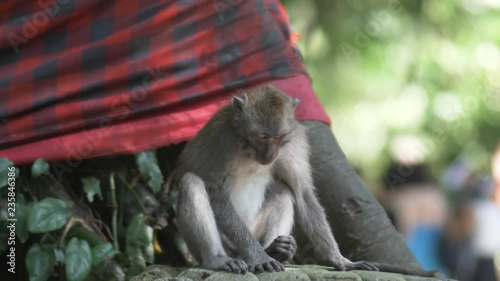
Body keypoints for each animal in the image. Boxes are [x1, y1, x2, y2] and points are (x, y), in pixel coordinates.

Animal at [170, 85, 376, 274]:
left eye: (278, 136)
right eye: (262, 137)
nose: (270, 155)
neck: (247, 146)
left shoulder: (293, 141)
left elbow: (302, 192)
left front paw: (338, 259)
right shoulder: (221, 139)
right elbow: (215, 193)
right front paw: (259, 258)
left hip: (255, 230)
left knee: (283, 190)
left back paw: (275, 250)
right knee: (191, 183)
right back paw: (219, 259)